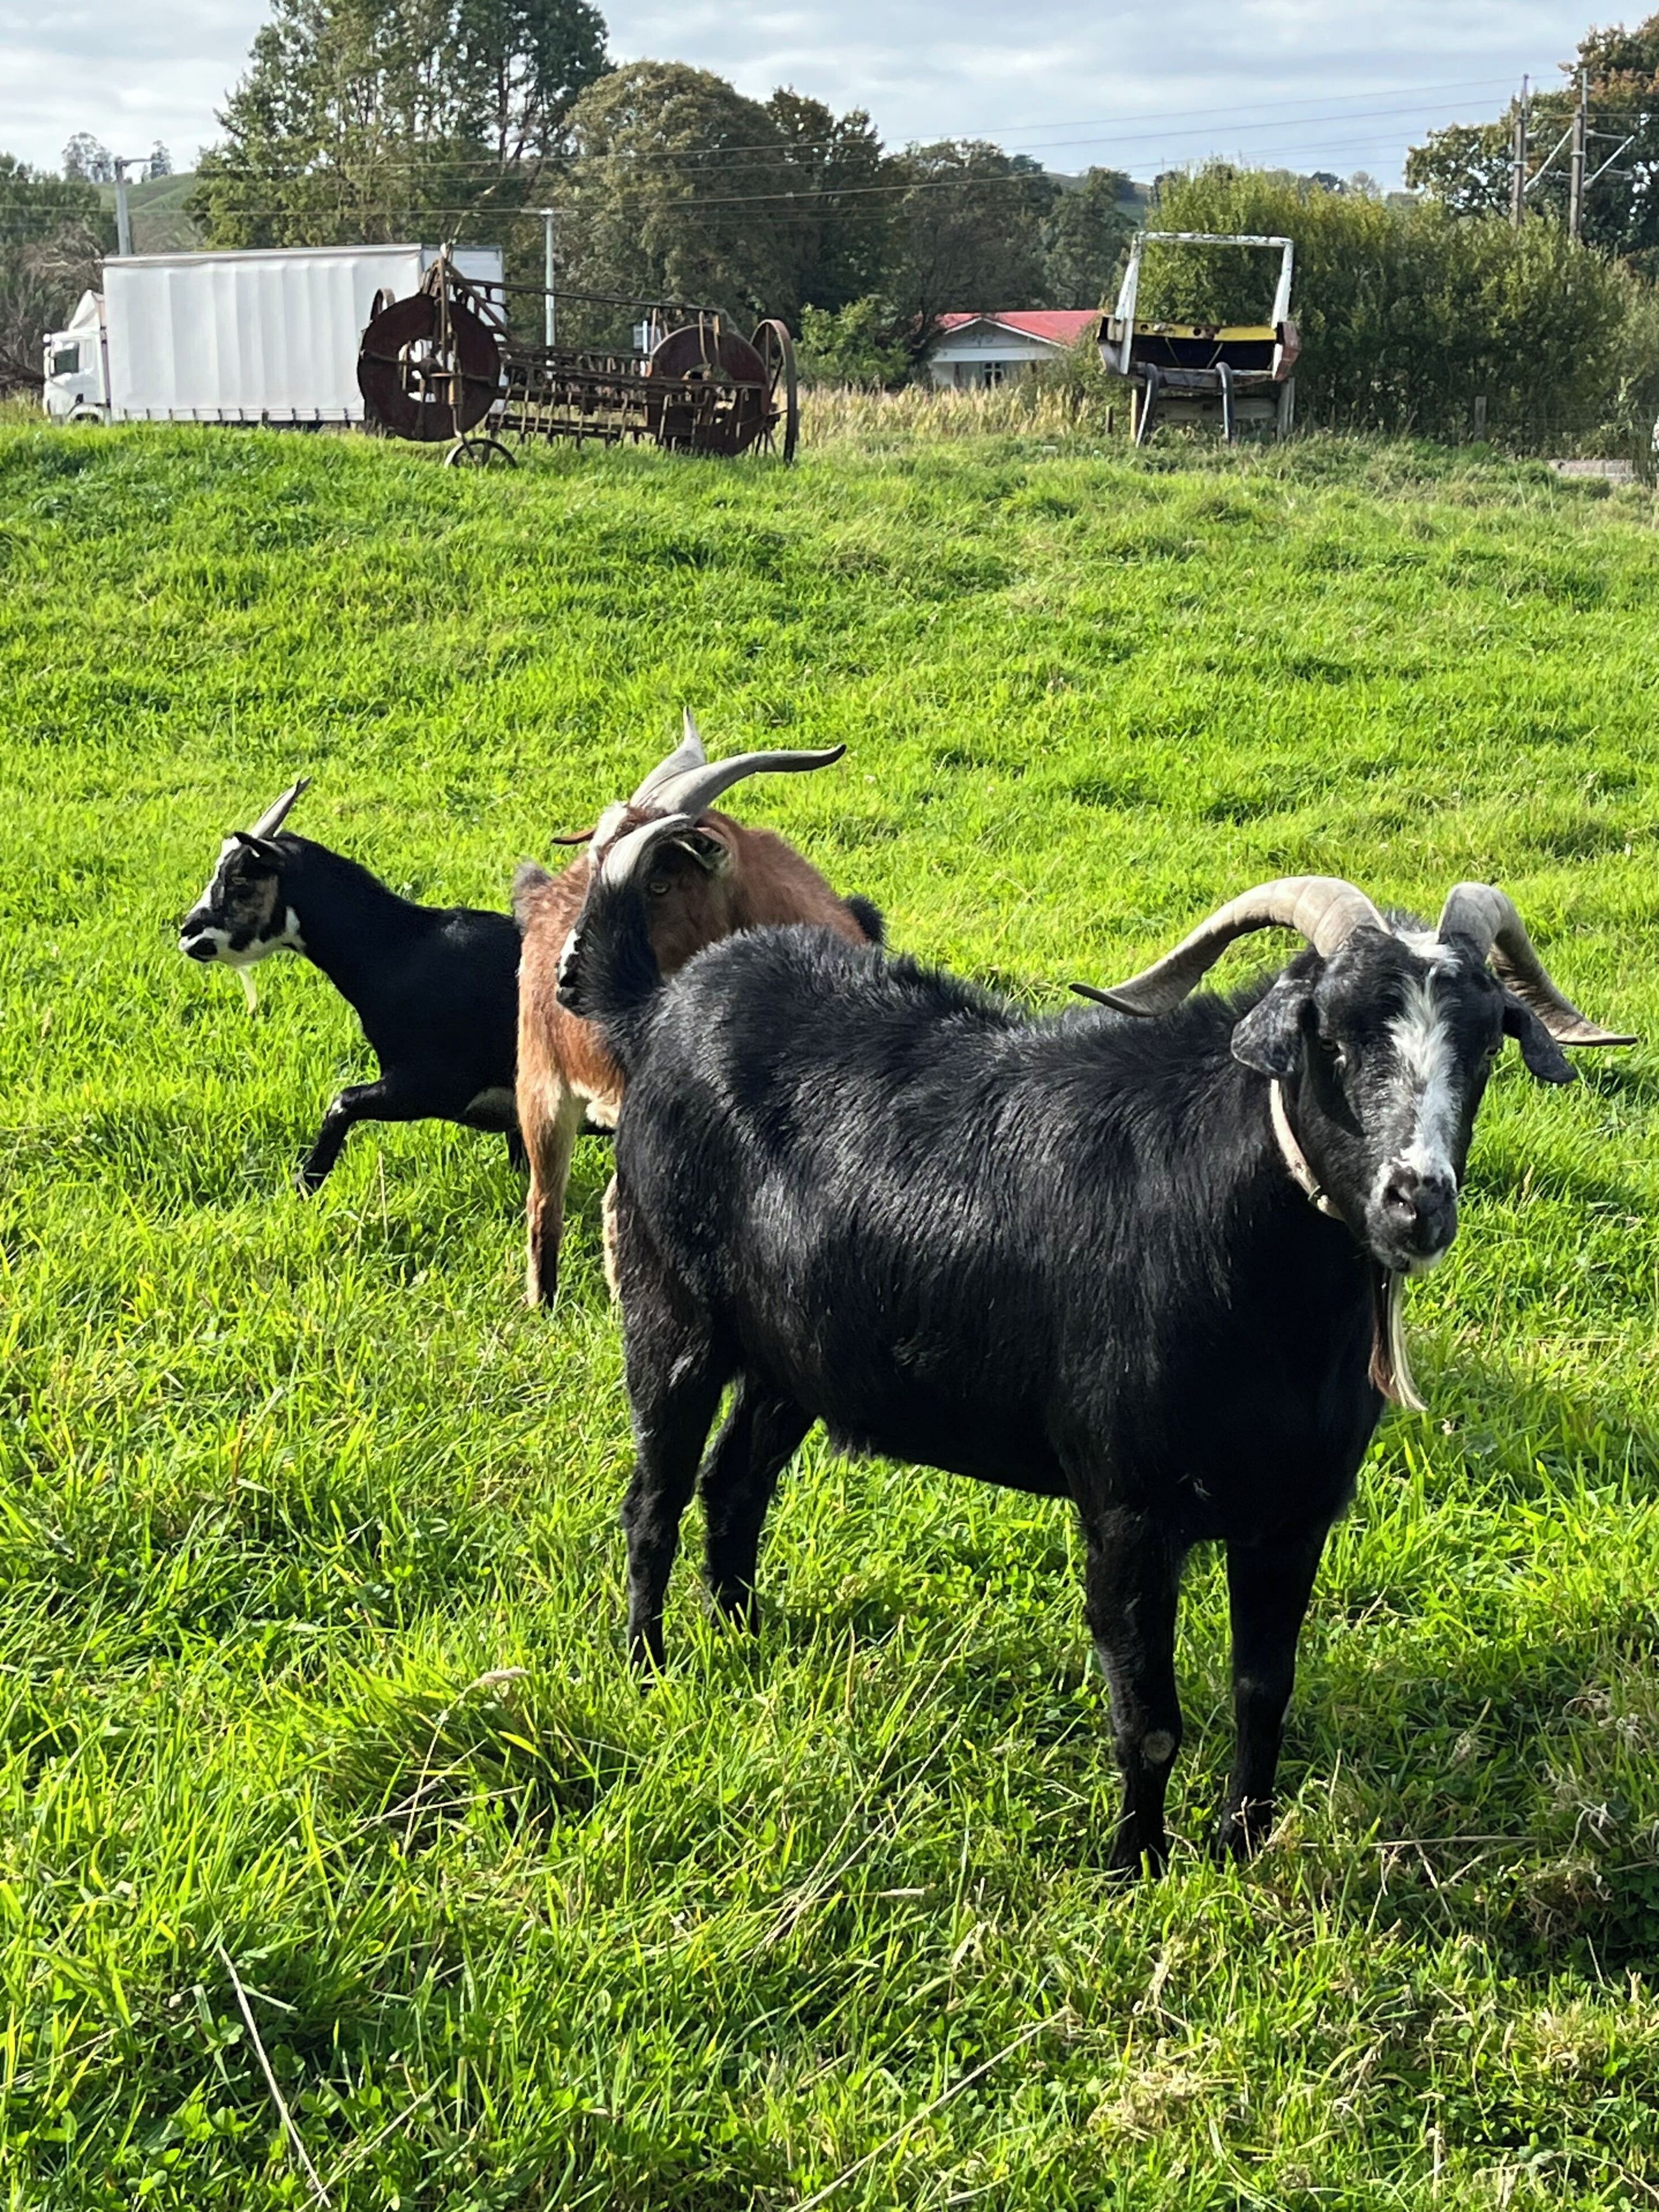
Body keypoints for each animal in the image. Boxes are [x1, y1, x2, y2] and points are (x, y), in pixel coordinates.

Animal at [180, 781, 527, 1189]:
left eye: (239, 880)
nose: (188, 932)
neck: (399, 949)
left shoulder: (436, 1083)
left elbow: (342, 1101)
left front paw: (305, 1184)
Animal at [558, 837, 1632, 1874]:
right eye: (1330, 1031)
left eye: (1485, 1041)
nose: (1417, 1203)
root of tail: (663, 1008)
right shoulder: (1127, 1505)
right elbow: (1147, 1717)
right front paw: (1134, 1869)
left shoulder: (1295, 1513)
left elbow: (1264, 1691)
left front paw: (1240, 1847)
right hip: (671, 1311)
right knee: (653, 1499)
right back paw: (651, 1666)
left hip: (796, 1356)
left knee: (735, 1484)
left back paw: (745, 1636)